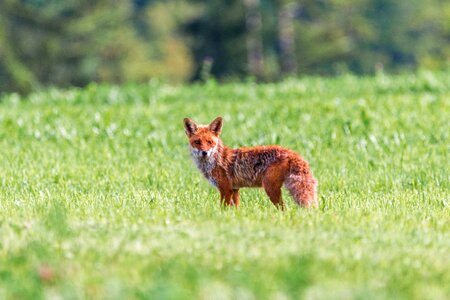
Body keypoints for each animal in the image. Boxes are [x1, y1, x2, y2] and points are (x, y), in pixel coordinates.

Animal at [183, 116, 316, 209]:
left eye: (209, 142)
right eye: (197, 142)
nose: (204, 152)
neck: (214, 160)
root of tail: (290, 152)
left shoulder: (225, 189)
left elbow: (223, 208)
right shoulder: (234, 189)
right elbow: (236, 209)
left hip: (270, 188)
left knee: (283, 209)